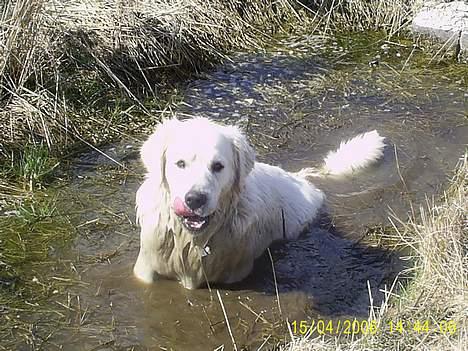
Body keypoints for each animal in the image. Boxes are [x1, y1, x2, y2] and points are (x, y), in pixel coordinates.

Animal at [132, 117, 384, 288]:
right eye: (180, 163)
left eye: (218, 166)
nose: (194, 199)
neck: (191, 240)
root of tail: (300, 177)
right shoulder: (145, 268)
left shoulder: (235, 272)